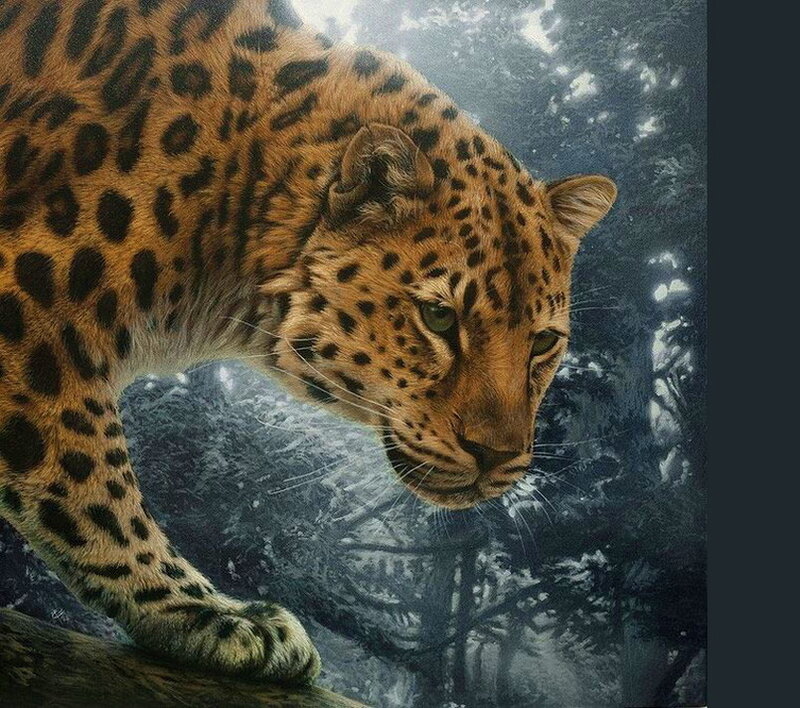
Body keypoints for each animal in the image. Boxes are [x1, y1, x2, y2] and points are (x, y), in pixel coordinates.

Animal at [0, 0, 617, 685]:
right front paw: (208, 617)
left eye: (543, 342)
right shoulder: (29, 313)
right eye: (438, 318)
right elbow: (94, 487)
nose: (495, 457)